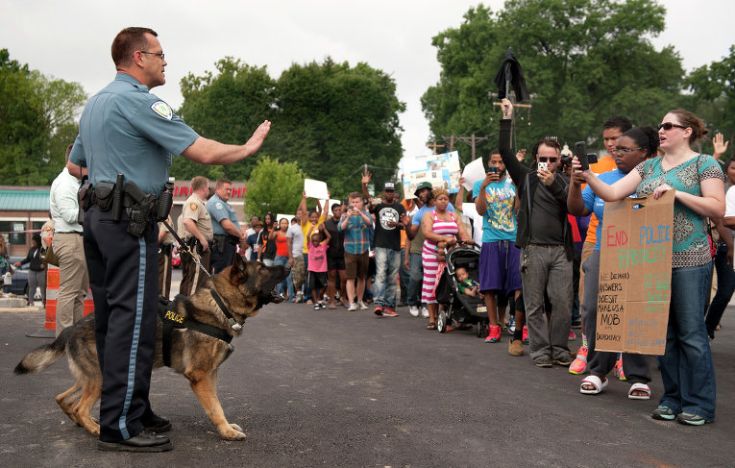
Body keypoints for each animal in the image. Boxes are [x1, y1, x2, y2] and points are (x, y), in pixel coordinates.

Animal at [14, 256, 288, 442]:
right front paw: (226, 431)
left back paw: (87, 421)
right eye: (263, 269)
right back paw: (96, 428)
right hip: (100, 378)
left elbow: (217, 403)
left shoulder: (212, 375)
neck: (221, 304)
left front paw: (227, 427)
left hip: (89, 377)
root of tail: (72, 328)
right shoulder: (201, 377)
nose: (287, 267)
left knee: (64, 399)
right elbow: (215, 407)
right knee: (79, 407)